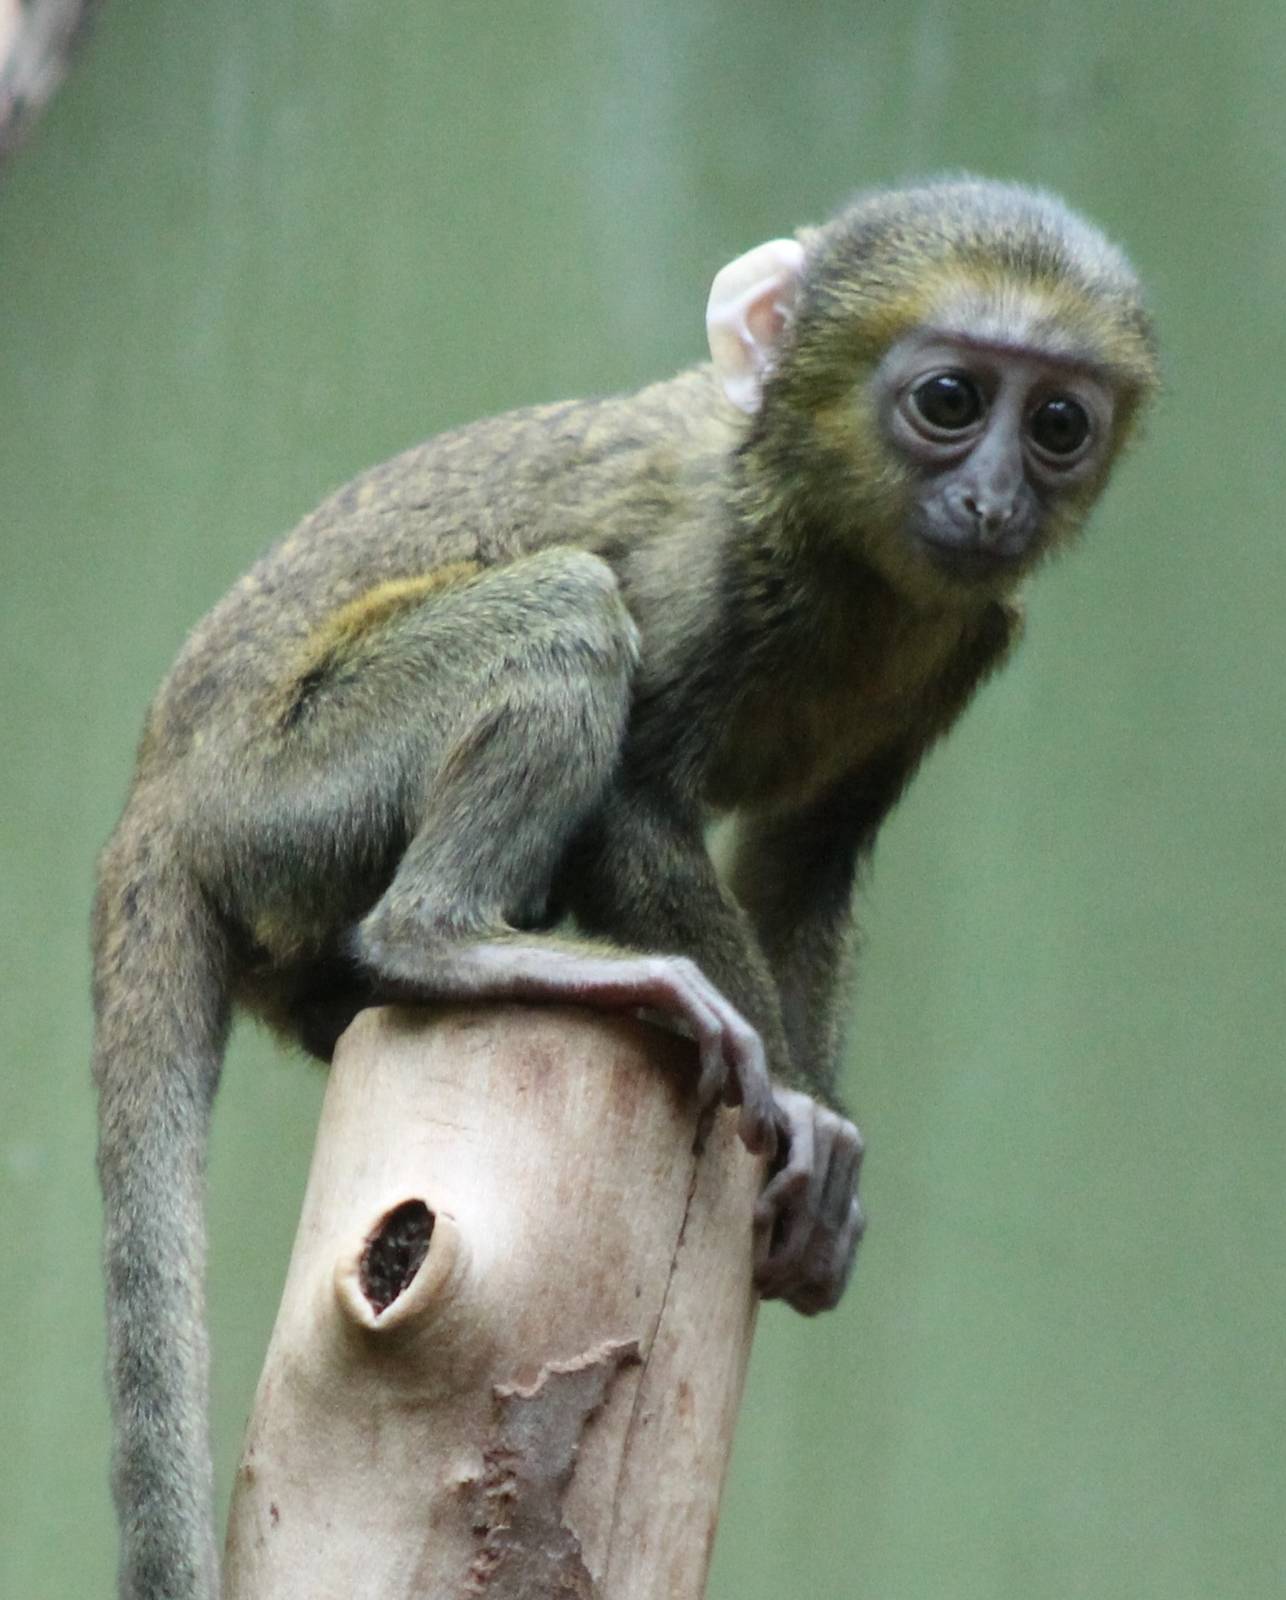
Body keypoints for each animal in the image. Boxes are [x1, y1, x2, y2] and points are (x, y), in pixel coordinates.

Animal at [92, 176, 1157, 1599]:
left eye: (1054, 423)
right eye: (947, 399)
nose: (992, 499)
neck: (828, 537)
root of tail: (159, 798)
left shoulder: (967, 639)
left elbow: (803, 858)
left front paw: (824, 1156)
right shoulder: (699, 561)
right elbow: (628, 802)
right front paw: (805, 1113)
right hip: (294, 792)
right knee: (561, 609)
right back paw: (454, 945)